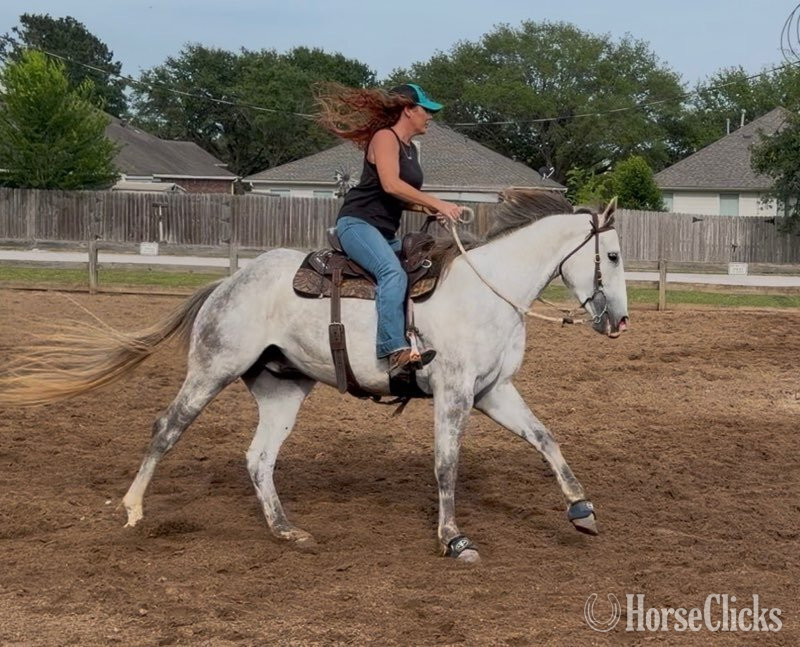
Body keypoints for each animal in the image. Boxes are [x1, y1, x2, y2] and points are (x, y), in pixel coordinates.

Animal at [0, 189, 628, 563]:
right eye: (614, 256)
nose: (619, 320)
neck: (485, 291)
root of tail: (229, 282)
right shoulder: (453, 393)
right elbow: (447, 466)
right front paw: (454, 538)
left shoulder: (493, 391)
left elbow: (546, 439)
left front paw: (582, 511)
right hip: (212, 369)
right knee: (166, 428)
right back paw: (133, 508)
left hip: (282, 389)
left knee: (259, 458)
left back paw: (285, 530)